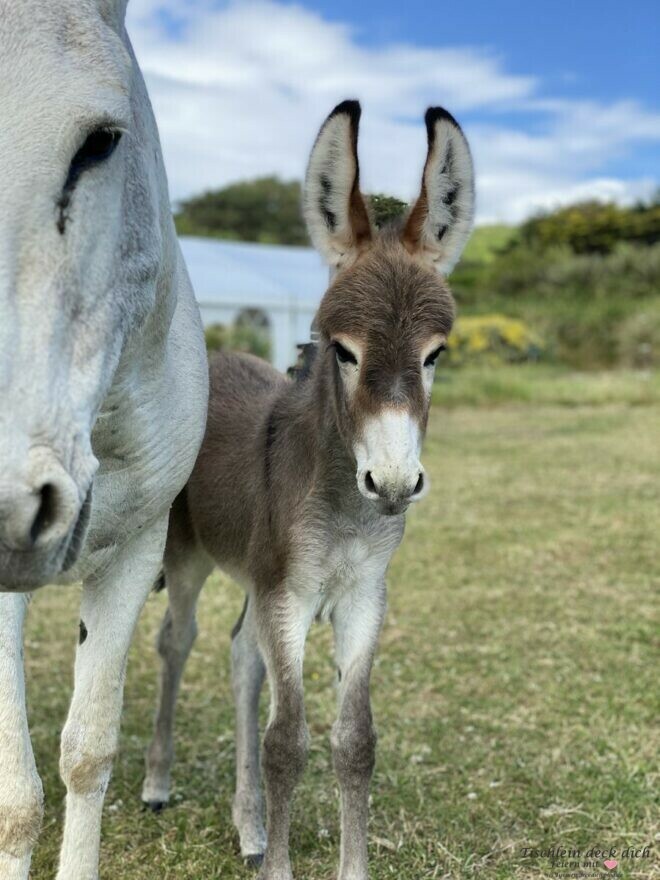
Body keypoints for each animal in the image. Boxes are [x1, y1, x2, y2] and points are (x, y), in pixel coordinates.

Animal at [143, 99, 474, 876]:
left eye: (435, 356)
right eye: (343, 352)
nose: (392, 483)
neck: (346, 506)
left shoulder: (361, 599)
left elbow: (355, 743)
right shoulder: (286, 594)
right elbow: (285, 743)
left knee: (240, 658)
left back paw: (250, 825)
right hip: (190, 559)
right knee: (178, 642)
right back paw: (158, 783)